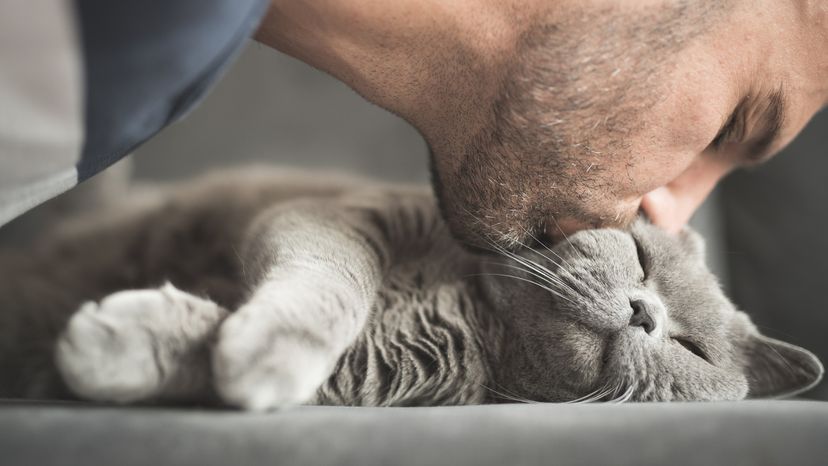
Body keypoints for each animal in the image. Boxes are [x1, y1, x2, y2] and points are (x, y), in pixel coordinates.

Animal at [0, 169, 820, 410]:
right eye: (641, 256)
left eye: (691, 348)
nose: (645, 313)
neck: (475, 317)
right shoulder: (334, 214)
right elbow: (333, 284)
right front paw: (270, 347)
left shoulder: (371, 373)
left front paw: (119, 344)